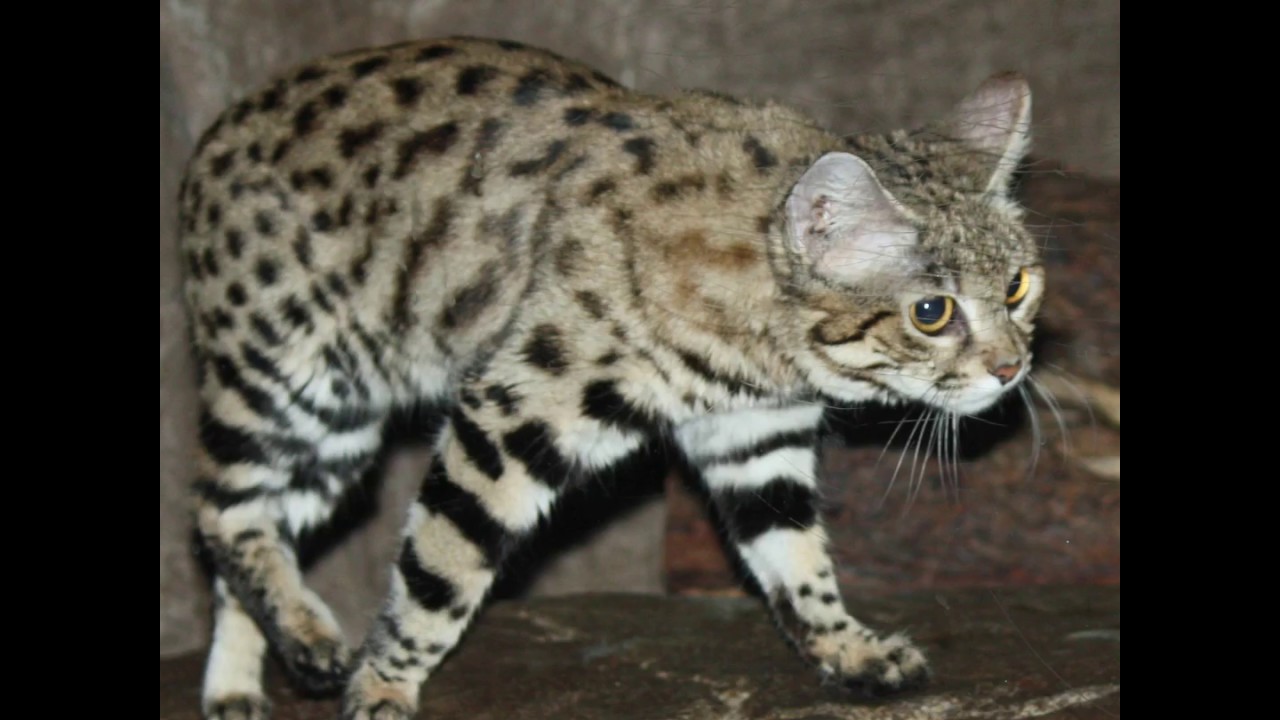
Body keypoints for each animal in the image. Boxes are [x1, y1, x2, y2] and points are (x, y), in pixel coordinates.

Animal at [177, 35, 1039, 717]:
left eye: (1019, 287)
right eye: (931, 311)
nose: (1012, 368)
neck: (761, 344)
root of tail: (212, 137)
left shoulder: (754, 434)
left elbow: (794, 555)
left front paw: (847, 648)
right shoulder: (508, 413)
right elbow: (440, 572)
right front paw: (384, 685)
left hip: (341, 429)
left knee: (258, 524)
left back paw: (247, 677)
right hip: (288, 375)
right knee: (219, 507)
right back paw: (305, 640)